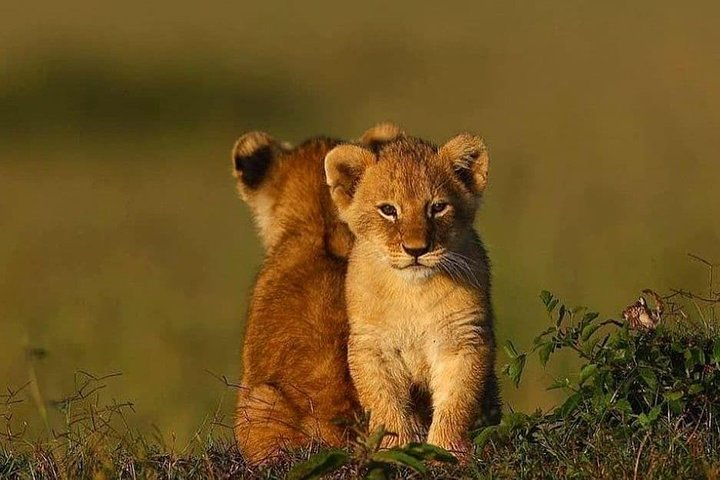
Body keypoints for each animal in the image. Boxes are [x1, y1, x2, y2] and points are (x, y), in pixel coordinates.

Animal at [324, 133, 501, 460]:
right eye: (388, 210)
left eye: (437, 207)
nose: (416, 249)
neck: (412, 293)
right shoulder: (372, 346)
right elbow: (385, 406)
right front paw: (395, 451)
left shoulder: (462, 339)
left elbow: (456, 402)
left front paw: (446, 453)